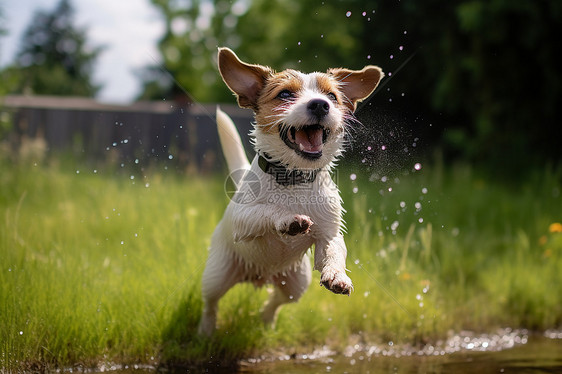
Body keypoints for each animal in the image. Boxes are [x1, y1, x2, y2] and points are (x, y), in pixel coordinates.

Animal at [197, 46, 380, 336]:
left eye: (332, 96)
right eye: (284, 94)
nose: (320, 104)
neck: (294, 179)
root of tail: (261, 276)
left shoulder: (328, 233)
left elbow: (335, 251)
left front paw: (337, 275)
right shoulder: (242, 219)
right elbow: (267, 210)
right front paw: (288, 219)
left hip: (297, 283)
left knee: (276, 301)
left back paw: (267, 321)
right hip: (216, 275)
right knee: (210, 303)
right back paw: (205, 330)